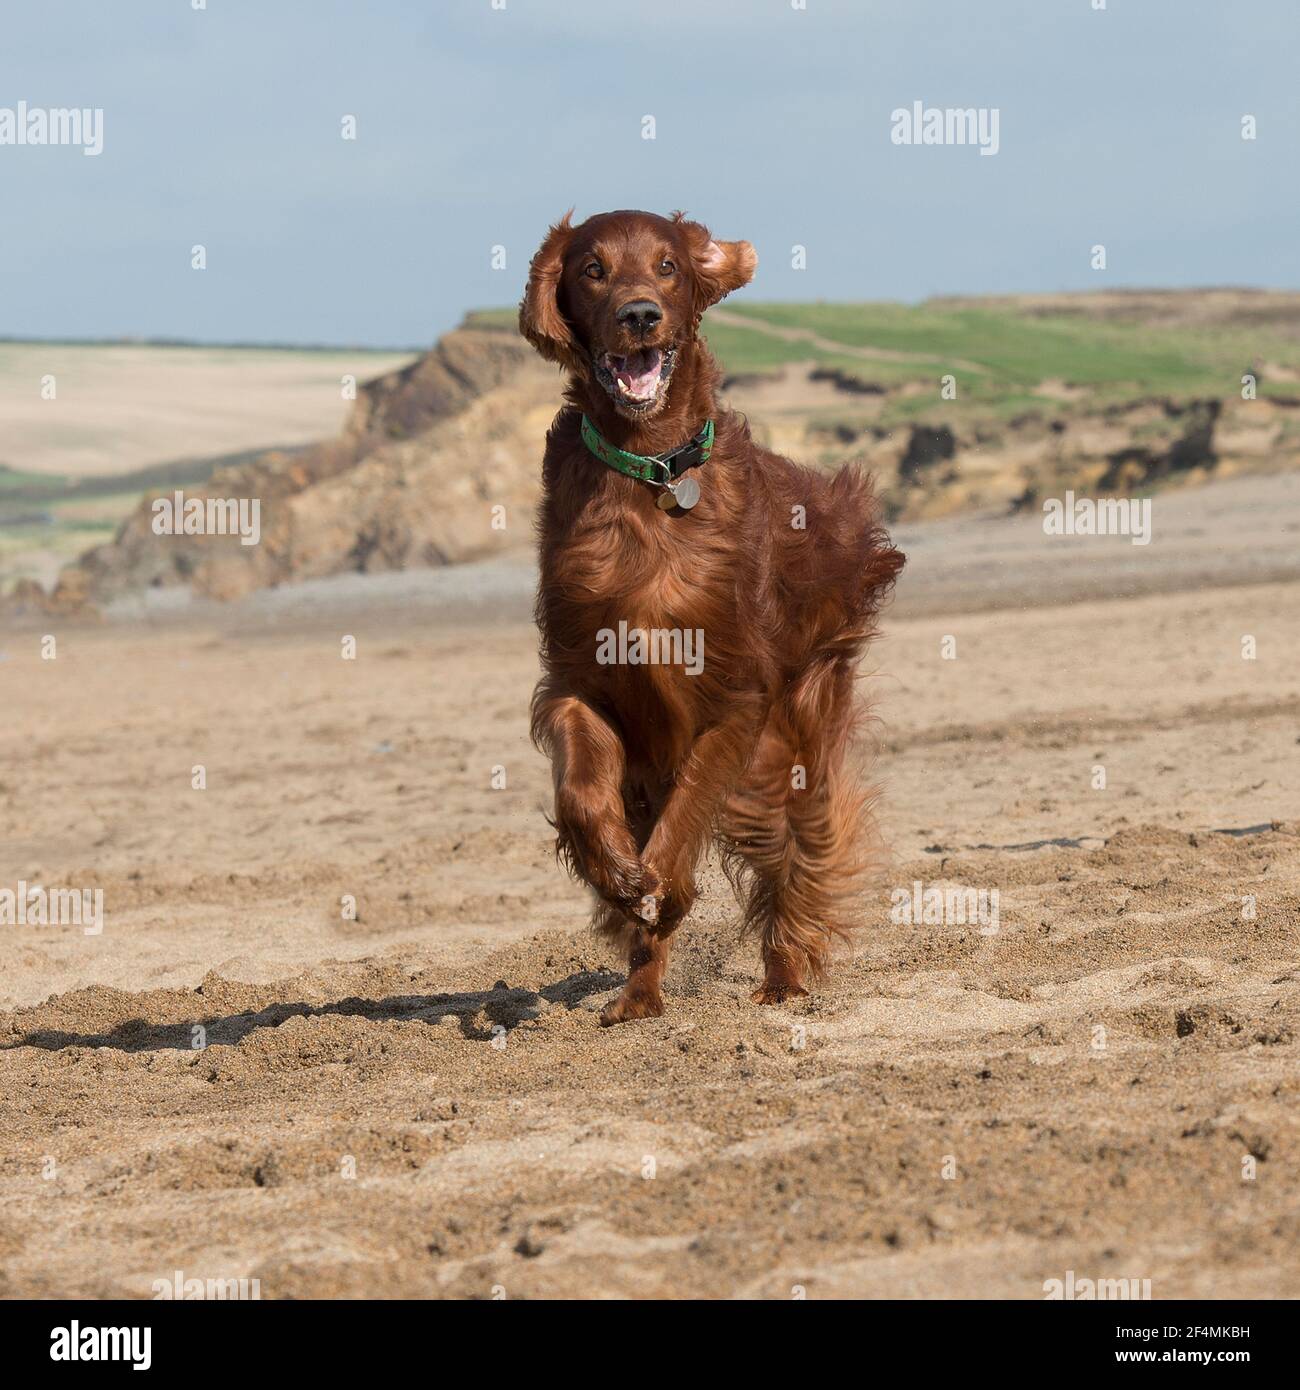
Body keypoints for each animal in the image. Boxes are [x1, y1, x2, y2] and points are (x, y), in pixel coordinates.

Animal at [520, 211, 906, 1028]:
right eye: (592, 269)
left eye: (667, 265)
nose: (639, 315)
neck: (650, 476)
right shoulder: (578, 681)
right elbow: (581, 796)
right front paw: (619, 875)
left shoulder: (734, 702)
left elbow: (689, 809)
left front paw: (660, 884)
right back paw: (637, 996)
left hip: (784, 753)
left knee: (797, 851)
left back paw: (784, 979)